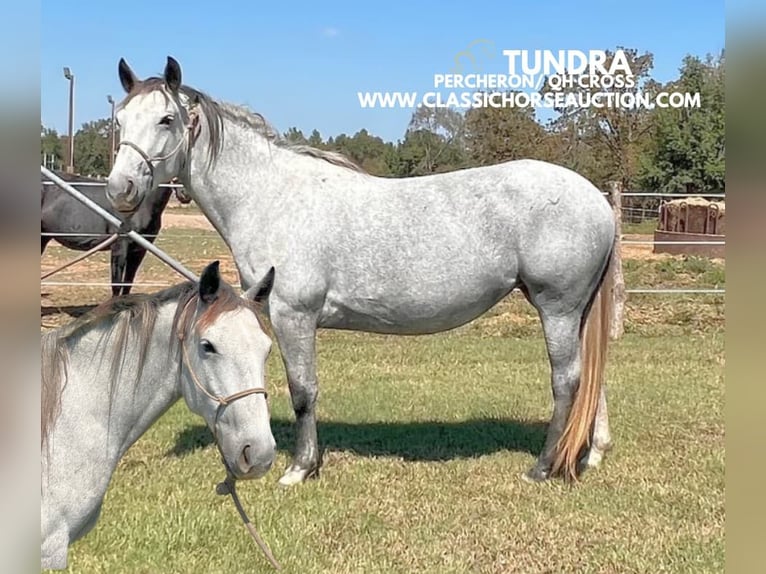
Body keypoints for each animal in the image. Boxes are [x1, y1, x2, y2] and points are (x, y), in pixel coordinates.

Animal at [103, 57, 616, 490]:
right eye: (120, 119)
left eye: (166, 120)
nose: (119, 188)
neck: (273, 196)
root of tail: (597, 199)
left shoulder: (292, 314)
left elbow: (302, 390)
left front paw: (299, 468)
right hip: (575, 312)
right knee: (592, 377)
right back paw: (591, 454)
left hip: (557, 308)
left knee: (568, 381)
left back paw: (544, 467)